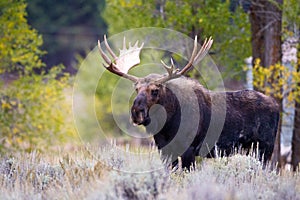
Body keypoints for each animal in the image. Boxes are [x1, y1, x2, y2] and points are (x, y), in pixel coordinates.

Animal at [97, 35, 280, 169]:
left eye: (155, 90)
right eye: (136, 89)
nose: (136, 112)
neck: (167, 127)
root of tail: (277, 105)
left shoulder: (190, 150)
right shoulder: (164, 149)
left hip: (265, 147)